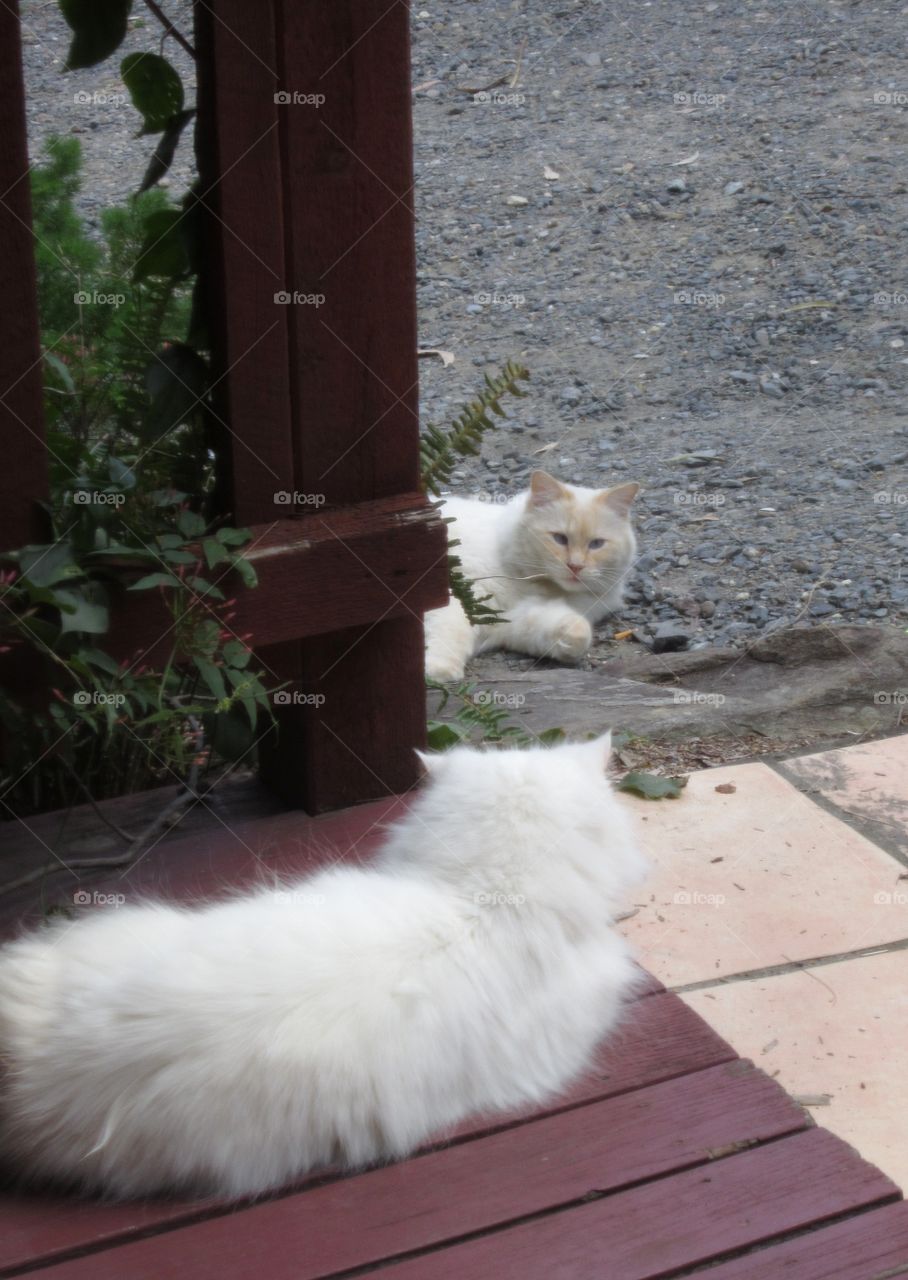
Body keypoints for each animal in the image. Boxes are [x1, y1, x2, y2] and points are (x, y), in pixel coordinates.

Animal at [422, 471, 637, 686]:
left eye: (596, 544)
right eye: (560, 539)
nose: (575, 566)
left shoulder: (514, 620)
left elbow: (575, 631)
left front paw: (569, 643)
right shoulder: (460, 594)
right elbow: (449, 633)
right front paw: (437, 670)